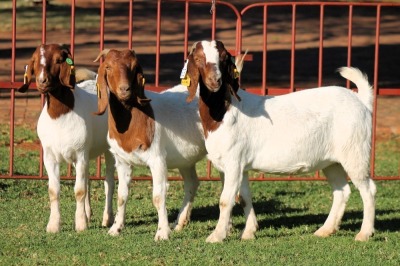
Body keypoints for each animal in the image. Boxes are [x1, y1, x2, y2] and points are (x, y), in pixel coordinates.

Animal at [18, 44, 115, 233]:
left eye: (58, 60)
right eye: (35, 60)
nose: (42, 81)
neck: (60, 116)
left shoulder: (81, 154)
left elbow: (79, 190)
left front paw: (81, 224)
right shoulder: (50, 157)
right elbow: (54, 190)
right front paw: (53, 225)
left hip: (109, 150)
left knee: (109, 182)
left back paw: (107, 219)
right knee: (88, 180)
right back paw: (88, 213)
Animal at [93, 48, 256, 241]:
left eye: (133, 67)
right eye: (108, 67)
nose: (125, 89)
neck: (138, 119)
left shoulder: (157, 159)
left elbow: (158, 196)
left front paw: (162, 232)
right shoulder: (122, 160)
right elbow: (122, 196)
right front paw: (116, 228)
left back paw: (227, 227)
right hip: (185, 157)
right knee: (193, 182)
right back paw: (180, 222)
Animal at [184, 40, 376, 243]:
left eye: (222, 57)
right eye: (198, 58)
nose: (215, 81)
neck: (224, 110)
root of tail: (362, 101)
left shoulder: (233, 162)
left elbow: (225, 200)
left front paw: (216, 236)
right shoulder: (242, 165)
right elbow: (244, 197)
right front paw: (249, 232)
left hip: (355, 151)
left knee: (368, 190)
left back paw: (364, 233)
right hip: (332, 161)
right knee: (341, 191)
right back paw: (325, 230)